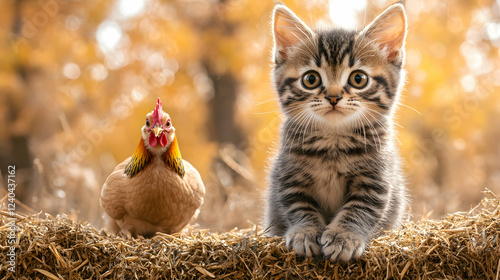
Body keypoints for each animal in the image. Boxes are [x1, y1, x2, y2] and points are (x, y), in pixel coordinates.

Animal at [264, 2, 408, 262]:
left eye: (358, 78)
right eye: (310, 79)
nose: (333, 96)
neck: (333, 140)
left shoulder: (377, 179)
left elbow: (361, 208)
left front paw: (344, 237)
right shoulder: (288, 176)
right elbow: (298, 205)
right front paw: (305, 232)